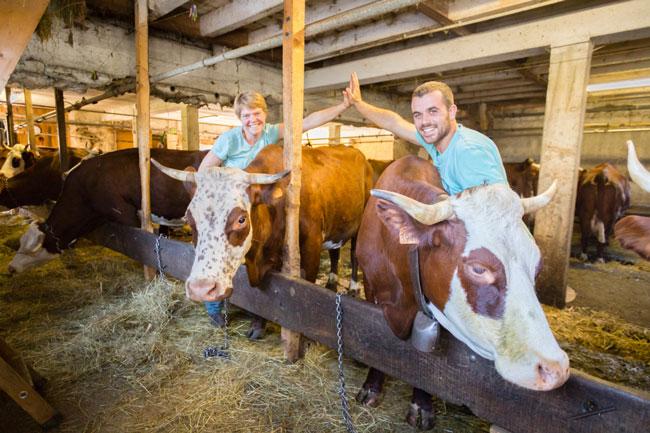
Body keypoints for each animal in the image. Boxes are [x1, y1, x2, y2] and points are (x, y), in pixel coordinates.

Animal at [354, 155, 568, 428]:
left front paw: (421, 406)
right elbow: (374, 342)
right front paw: (371, 388)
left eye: (537, 264)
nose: (554, 369)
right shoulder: (371, 290)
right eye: (479, 269)